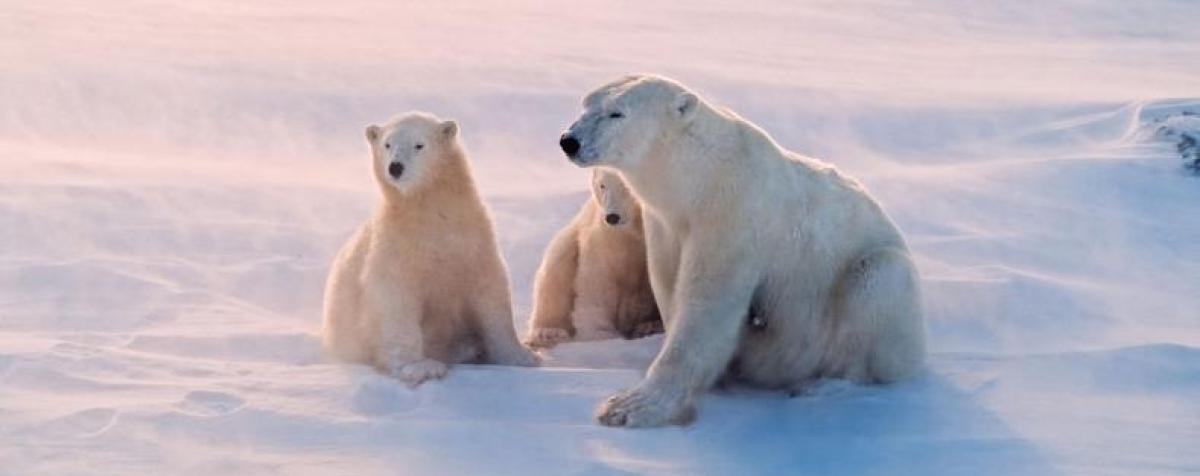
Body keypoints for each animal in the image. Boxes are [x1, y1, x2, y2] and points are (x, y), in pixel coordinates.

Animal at [322, 111, 539, 387]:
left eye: (419, 145)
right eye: (387, 144)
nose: (395, 167)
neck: (430, 215)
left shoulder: (474, 241)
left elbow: (491, 293)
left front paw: (522, 356)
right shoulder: (396, 248)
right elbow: (396, 299)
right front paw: (421, 367)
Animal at [524, 168, 663, 348]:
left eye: (627, 184)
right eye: (602, 185)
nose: (612, 217)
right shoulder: (605, 237)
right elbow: (599, 282)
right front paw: (602, 334)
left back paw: (649, 326)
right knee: (555, 268)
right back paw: (547, 332)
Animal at [557, 75, 926, 427]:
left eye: (616, 113)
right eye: (586, 104)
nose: (568, 141)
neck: (699, 178)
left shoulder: (732, 214)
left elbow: (708, 303)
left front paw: (631, 406)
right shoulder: (665, 225)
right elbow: (670, 287)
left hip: (877, 296)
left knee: (876, 285)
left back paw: (823, 384)